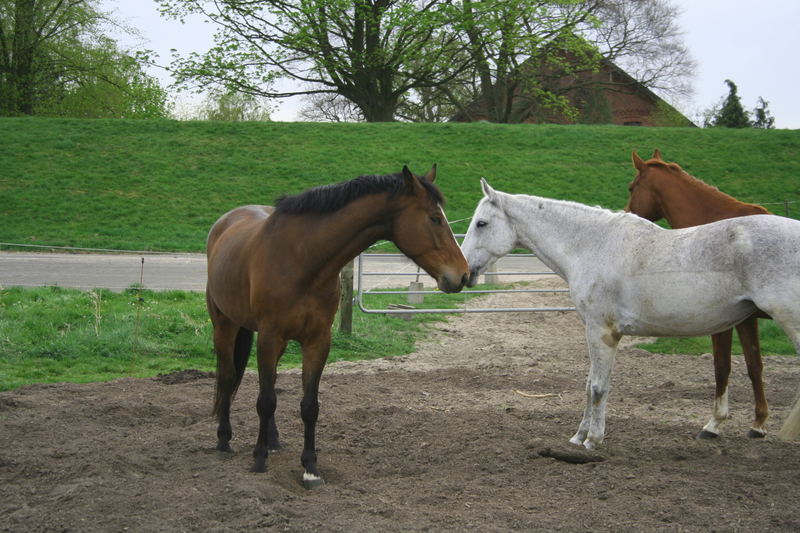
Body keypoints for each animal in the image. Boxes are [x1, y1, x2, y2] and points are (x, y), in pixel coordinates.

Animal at [206, 166, 468, 486]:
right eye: (434, 218)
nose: (462, 275)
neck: (302, 259)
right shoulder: (269, 336)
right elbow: (266, 401)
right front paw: (259, 459)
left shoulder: (318, 341)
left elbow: (309, 406)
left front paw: (310, 467)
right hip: (224, 324)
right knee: (228, 377)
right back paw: (224, 441)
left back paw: (274, 440)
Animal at [460, 179, 800, 448]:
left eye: (481, 223)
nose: (464, 273)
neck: (592, 246)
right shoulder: (596, 333)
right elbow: (589, 385)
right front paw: (578, 436)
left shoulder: (602, 332)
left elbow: (598, 387)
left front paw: (593, 440)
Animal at [624, 149, 776, 436]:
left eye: (631, 187)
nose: (626, 215)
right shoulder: (747, 320)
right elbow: (754, 365)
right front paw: (759, 423)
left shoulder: (722, 320)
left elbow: (722, 365)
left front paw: (714, 423)